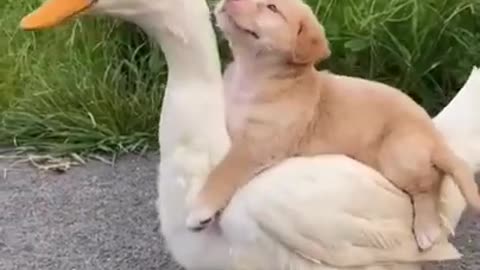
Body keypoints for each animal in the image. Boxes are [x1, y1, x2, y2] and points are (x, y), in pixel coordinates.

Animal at [188, 0, 480, 251]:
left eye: (272, 8)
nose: (230, 1)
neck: (252, 75)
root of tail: (434, 135)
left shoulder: (256, 144)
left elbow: (223, 172)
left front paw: (200, 210)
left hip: (397, 155)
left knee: (430, 182)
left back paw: (426, 228)